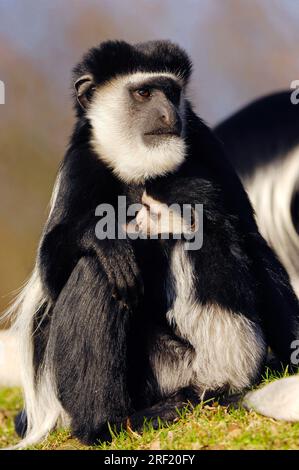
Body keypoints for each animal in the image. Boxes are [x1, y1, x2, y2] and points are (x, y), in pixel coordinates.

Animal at [7, 41, 299, 448]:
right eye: (144, 92)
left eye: (172, 92)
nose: (168, 114)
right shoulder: (82, 161)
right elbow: (53, 274)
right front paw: (103, 239)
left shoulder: (202, 140)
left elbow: (251, 240)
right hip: (152, 372)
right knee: (99, 270)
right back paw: (108, 424)